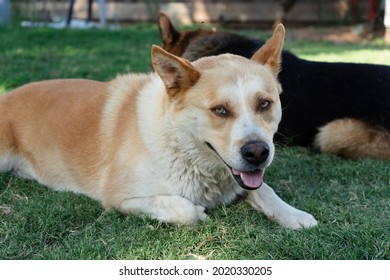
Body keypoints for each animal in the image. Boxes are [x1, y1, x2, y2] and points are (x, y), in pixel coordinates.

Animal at [0, 25, 316, 229]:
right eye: (220, 110)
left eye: (264, 104)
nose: (258, 153)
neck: (178, 141)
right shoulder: (119, 198)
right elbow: (184, 208)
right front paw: (198, 212)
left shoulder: (245, 179)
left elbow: (264, 190)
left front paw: (293, 214)